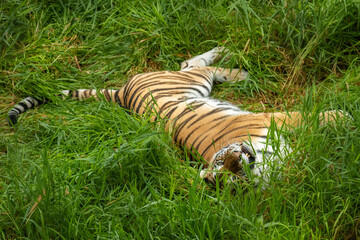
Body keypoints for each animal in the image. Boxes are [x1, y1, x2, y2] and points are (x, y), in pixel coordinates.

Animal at [6, 46, 344, 186]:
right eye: (223, 168)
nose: (238, 155)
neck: (265, 166)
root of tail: (121, 92)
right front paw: (344, 118)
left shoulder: (270, 121)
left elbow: (311, 117)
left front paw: (344, 115)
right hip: (193, 81)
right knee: (194, 65)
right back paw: (238, 68)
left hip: (193, 81)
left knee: (192, 62)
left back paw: (231, 60)